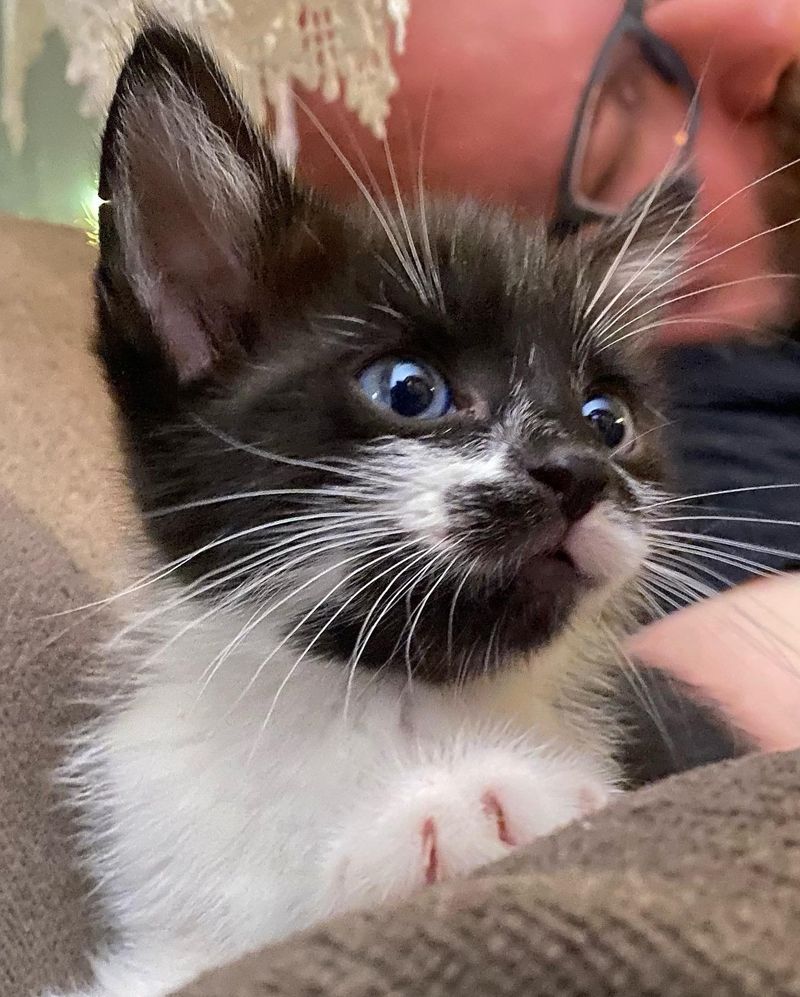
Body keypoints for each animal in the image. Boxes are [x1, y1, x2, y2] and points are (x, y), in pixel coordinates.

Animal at [57, 23, 692, 996]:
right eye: (409, 389)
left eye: (607, 420)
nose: (576, 468)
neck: (385, 696)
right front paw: (470, 810)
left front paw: (493, 801)